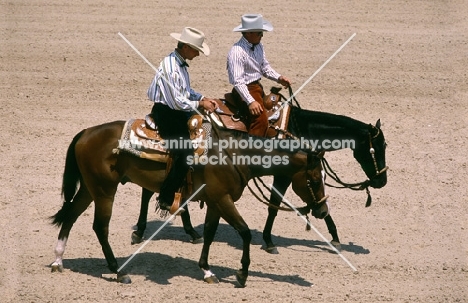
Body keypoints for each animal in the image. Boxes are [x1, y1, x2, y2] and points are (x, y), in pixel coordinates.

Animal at [50, 116, 326, 288]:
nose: (323, 210)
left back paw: (58, 261)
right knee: (100, 227)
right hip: (104, 190)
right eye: (313, 179)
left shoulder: (215, 202)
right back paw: (119, 272)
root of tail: (85, 133)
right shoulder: (224, 199)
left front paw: (207, 271)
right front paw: (242, 275)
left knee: (71, 216)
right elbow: (245, 232)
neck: (233, 154)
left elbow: (211, 233)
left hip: (89, 189)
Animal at [132, 107, 388, 254]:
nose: (382, 181)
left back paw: (191, 232)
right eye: (377, 148)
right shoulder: (285, 175)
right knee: (148, 192)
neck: (301, 129)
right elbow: (274, 206)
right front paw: (269, 241)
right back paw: (140, 231)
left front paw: (334, 236)